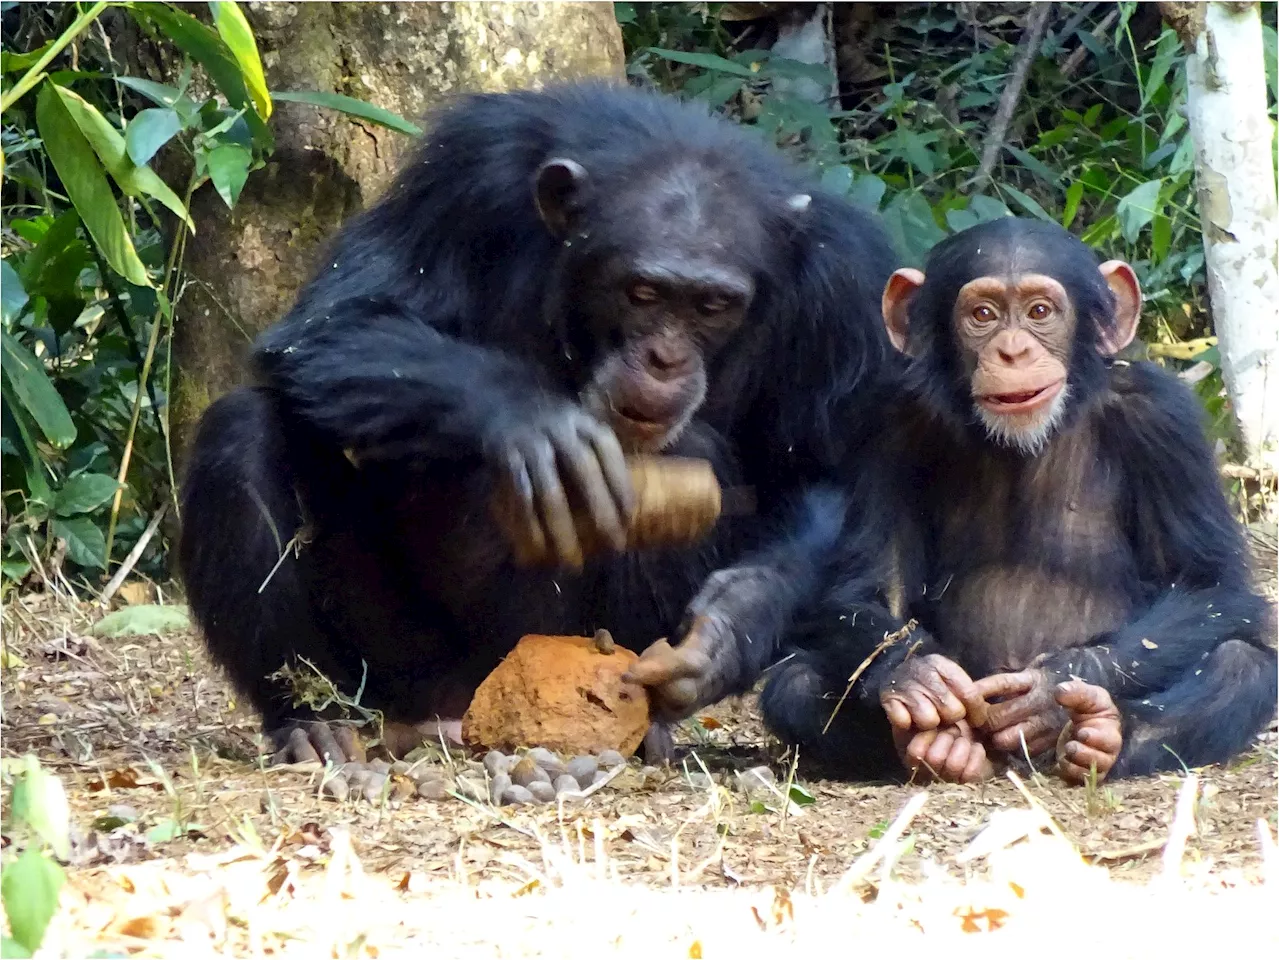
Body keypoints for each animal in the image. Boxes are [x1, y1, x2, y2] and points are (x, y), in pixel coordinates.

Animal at [183, 82, 901, 768]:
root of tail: (461, 711)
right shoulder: (465, 174)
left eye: (713, 305)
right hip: (394, 666)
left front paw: (729, 628)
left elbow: (822, 473)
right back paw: (311, 721)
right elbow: (336, 321)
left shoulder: (842, 281)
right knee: (242, 432)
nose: (664, 359)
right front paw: (534, 424)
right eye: (642, 293)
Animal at [762, 220, 1274, 788]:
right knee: (794, 682)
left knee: (1241, 665)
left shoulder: (1165, 418)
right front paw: (916, 672)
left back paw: (1101, 735)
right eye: (983, 315)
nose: (1012, 351)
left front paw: (1050, 689)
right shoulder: (888, 421)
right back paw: (938, 748)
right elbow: (869, 585)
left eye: (1040, 312)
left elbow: (1209, 584)